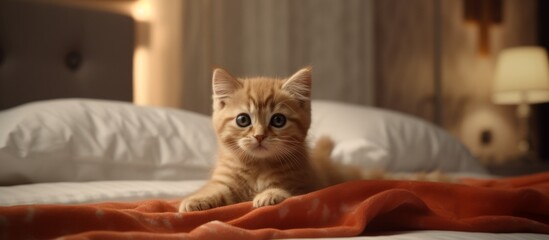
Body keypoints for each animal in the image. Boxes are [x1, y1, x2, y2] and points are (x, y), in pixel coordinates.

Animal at [176, 67, 356, 212]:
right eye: (243, 120)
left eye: (278, 120)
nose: (259, 136)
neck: (258, 166)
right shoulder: (224, 179)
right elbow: (214, 189)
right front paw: (197, 199)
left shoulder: (308, 184)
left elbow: (294, 191)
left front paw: (270, 194)